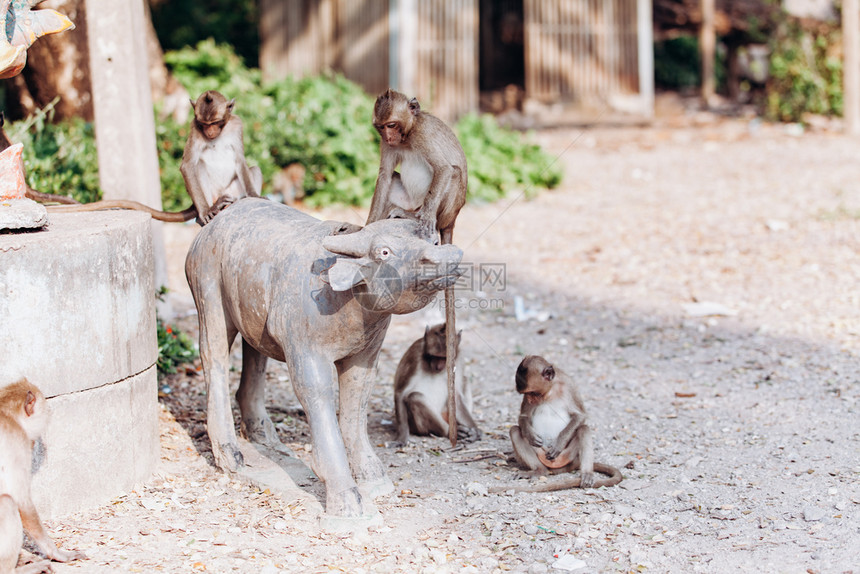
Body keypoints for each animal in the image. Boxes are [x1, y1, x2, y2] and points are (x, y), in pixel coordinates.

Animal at [179, 89, 260, 226]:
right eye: (204, 124)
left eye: (215, 122)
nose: (210, 132)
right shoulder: (195, 128)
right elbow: (188, 165)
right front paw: (205, 212)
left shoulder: (237, 125)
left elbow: (240, 160)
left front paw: (254, 195)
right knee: (198, 166)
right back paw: (211, 210)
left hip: (231, 191)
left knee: (255, 169)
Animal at [366, 90, 466, 448]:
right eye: (382, 127)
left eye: (394, 125)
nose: (390, 137)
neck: (408, 137)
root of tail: (453, 221)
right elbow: (384, 175)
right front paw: (364, 226)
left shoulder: (422, 135)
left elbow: (444, 168)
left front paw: (424, 223)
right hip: (406, 198)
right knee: (396, 180)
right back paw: (399, 214)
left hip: (447, 208)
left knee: (450, 173)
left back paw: (421, 221)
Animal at [494, 356, 620, 496]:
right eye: (527, 394)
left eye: (533, 393)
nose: (530, 399)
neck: (550, 392)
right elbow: (524, 416)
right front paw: (531, 436)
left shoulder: (569, 385)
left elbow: (580, 415)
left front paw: (559, 443)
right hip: (542, 454)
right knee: (515, 431)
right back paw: (539, 470)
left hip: (567, 455)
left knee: (583, 429)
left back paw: (586, 473)